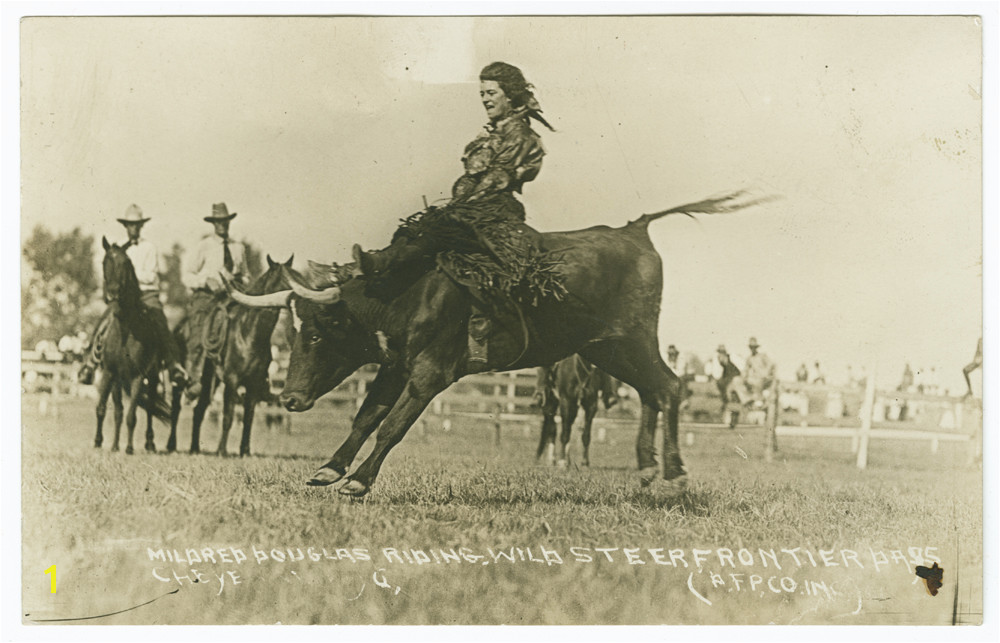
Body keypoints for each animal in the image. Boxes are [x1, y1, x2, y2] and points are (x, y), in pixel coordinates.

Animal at [93, 239, 172, 456]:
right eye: (104, 262)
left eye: (126, 263)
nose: (112, 293)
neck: (125, 329)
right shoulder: (110, 373)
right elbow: (104, 409)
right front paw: (102, 443)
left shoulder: (138, 376)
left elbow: (132, 415)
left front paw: (128, 448)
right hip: (118, 381)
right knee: (117, 410)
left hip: (152, 378)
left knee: (150, 408)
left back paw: (149, 444)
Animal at [168, 256, 292, 458]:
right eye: (285, 280)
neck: (248, 333)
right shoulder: (232, 380)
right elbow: (228, 415)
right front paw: (222, 451)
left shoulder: (253, 384)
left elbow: (248, 417)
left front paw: (245, 452)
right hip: (183, 380)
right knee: (176, 409)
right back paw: (171, 446)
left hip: (209, 382)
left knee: (199, 410)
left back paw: (194, 448)